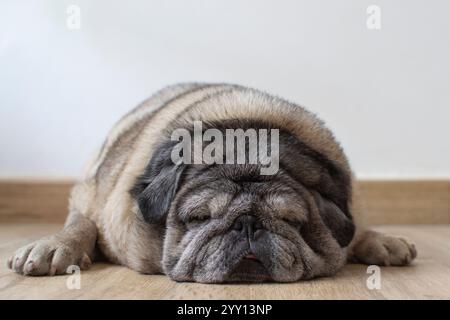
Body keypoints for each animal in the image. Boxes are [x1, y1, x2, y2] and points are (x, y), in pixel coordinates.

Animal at [7, 83, 416, 282]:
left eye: (292, 222)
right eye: (199, 218)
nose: (247, 223)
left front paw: (377, 240)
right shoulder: (97, 202)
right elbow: (83, 224)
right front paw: (57, 246)